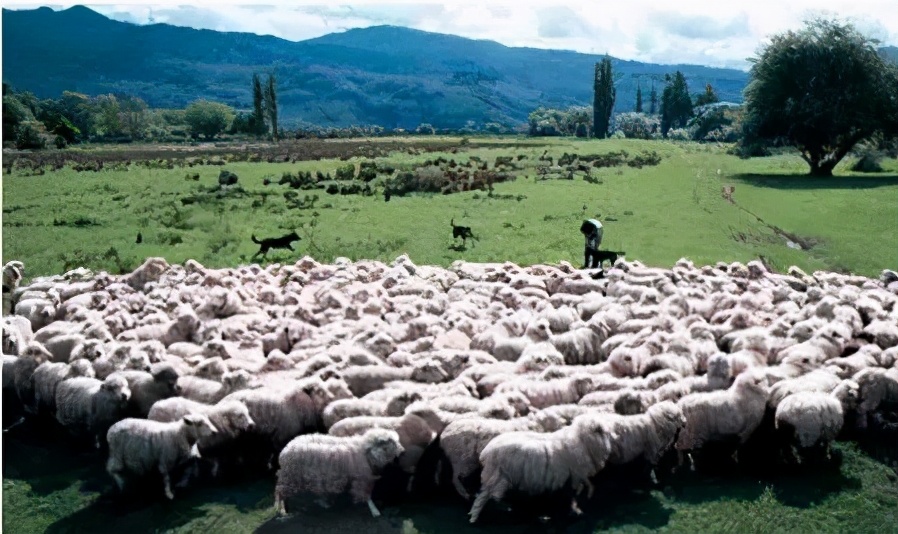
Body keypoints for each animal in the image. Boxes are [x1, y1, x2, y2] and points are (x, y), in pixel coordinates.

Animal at [466, 414, 612, 524]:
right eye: (602, 431)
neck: (581, 442)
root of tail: (487, 451)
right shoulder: (571, 478)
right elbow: (570, 498)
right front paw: (574, 512)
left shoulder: (566, 481)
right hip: (498, 477)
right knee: (485, 498)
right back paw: (478, 517)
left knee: (488, 496)